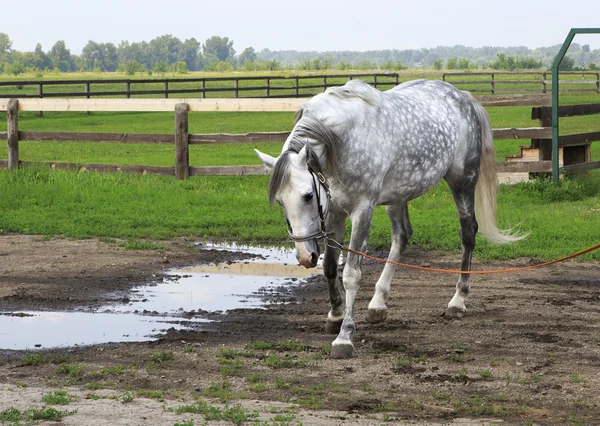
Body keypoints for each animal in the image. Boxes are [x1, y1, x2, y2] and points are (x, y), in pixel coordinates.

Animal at [255, 78, 524, 358]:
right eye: (280, 201)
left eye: (308, 196)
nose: (304, 256)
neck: (341, 141)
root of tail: (462, 96)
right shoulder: (334, 212)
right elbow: (329, 266)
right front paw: (335, 315)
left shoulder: (362, 211)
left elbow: (351, 273)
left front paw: (345, 336)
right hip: (398, 196)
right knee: (402, 236)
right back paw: (378, 303)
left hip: (463, 183)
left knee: (468, 234)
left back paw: (458, 301)